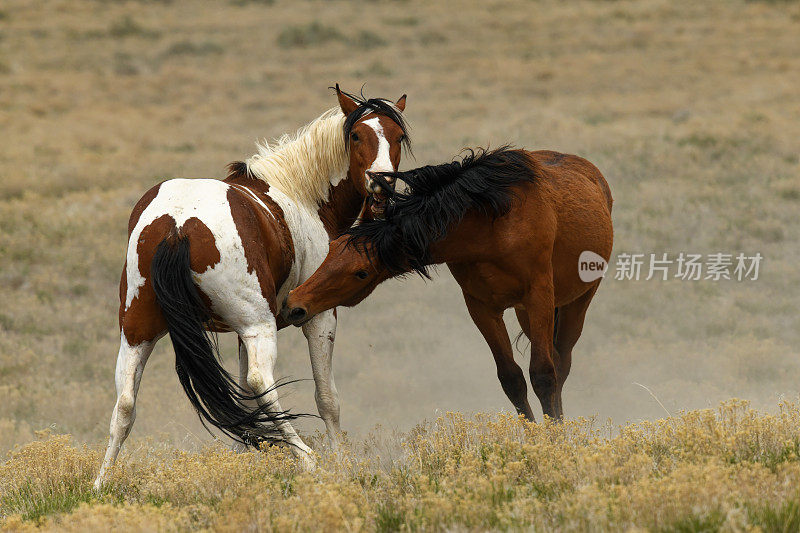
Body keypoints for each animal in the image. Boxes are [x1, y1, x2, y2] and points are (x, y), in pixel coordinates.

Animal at [92, 85, 412, 488]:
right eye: (356, 136)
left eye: (398, 136)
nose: (382, 183)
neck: (301, 196)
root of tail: (176, 224)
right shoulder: (318, 318)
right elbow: (325, 397)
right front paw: (340, 465)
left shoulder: (239, 334)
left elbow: (242, 400)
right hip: (256, 325)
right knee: (263, 384)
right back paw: (307, 459)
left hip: (138, 330)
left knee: (125, 403)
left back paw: (101, 482)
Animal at [284, 148, 616, 422]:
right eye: (331, 248)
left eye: (361, 273)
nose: (295, 304)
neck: (492, 227)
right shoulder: (482, 307)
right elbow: (512, 379)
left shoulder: (539, 297)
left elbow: (544, 374)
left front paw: (554, 439)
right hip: (526, 312)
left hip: (576, 302)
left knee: (562, 363)